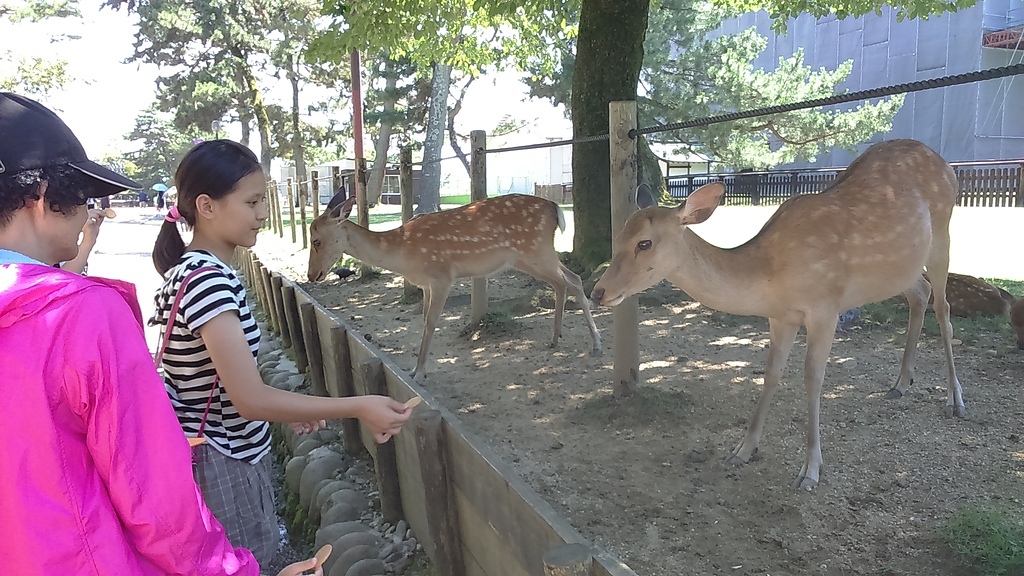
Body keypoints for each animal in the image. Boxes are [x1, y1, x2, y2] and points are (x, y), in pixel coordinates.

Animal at [307, 191, 602, 377]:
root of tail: (555, 209)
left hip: (536, 250)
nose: (312, 275)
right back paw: (555, 339)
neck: (403, 254)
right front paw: (416, 368)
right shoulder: (426, 284)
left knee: (574, 280)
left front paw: (418, 372)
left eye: (316, 241)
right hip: (528, 257)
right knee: (564, 282)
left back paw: (597, 345)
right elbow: (424, 319)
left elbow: (430, 321)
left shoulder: (441, 276)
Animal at [589, 138, 962, 483]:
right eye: (619, 235)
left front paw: (810, 469)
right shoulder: (781, 316)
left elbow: (813, 378)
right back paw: (901, 383)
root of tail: (945, 164)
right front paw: (742, 449)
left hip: (943, 234)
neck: (770, 275)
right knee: (920, 292)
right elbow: (770, 374)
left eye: (645, 243)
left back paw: (954, 399)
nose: (597, 292)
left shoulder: (825, 306)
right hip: (899, 269)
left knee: (943, 306)